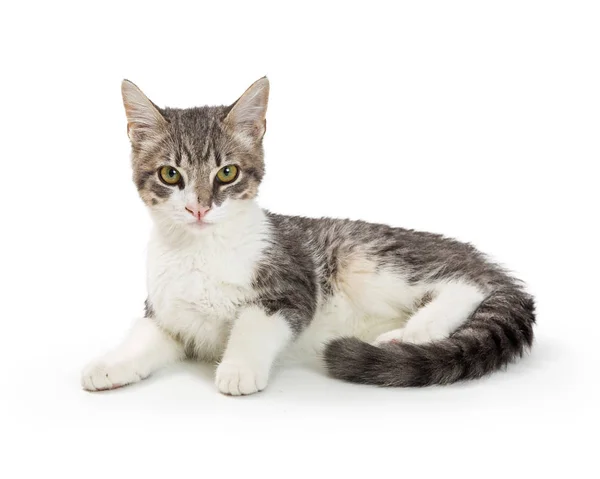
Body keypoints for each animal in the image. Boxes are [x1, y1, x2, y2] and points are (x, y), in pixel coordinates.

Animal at [79, 77, 536, 396]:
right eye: (170, 175)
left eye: (227, 172)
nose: (199, 208)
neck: (201, 250)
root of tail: (480, 258)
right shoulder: (167, 311)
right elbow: (145, 336)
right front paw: (111, 363)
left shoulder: (292, 283)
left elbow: (256, 322)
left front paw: (239, 368)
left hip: (368, 259)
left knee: (467, 286)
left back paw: (413, 332)